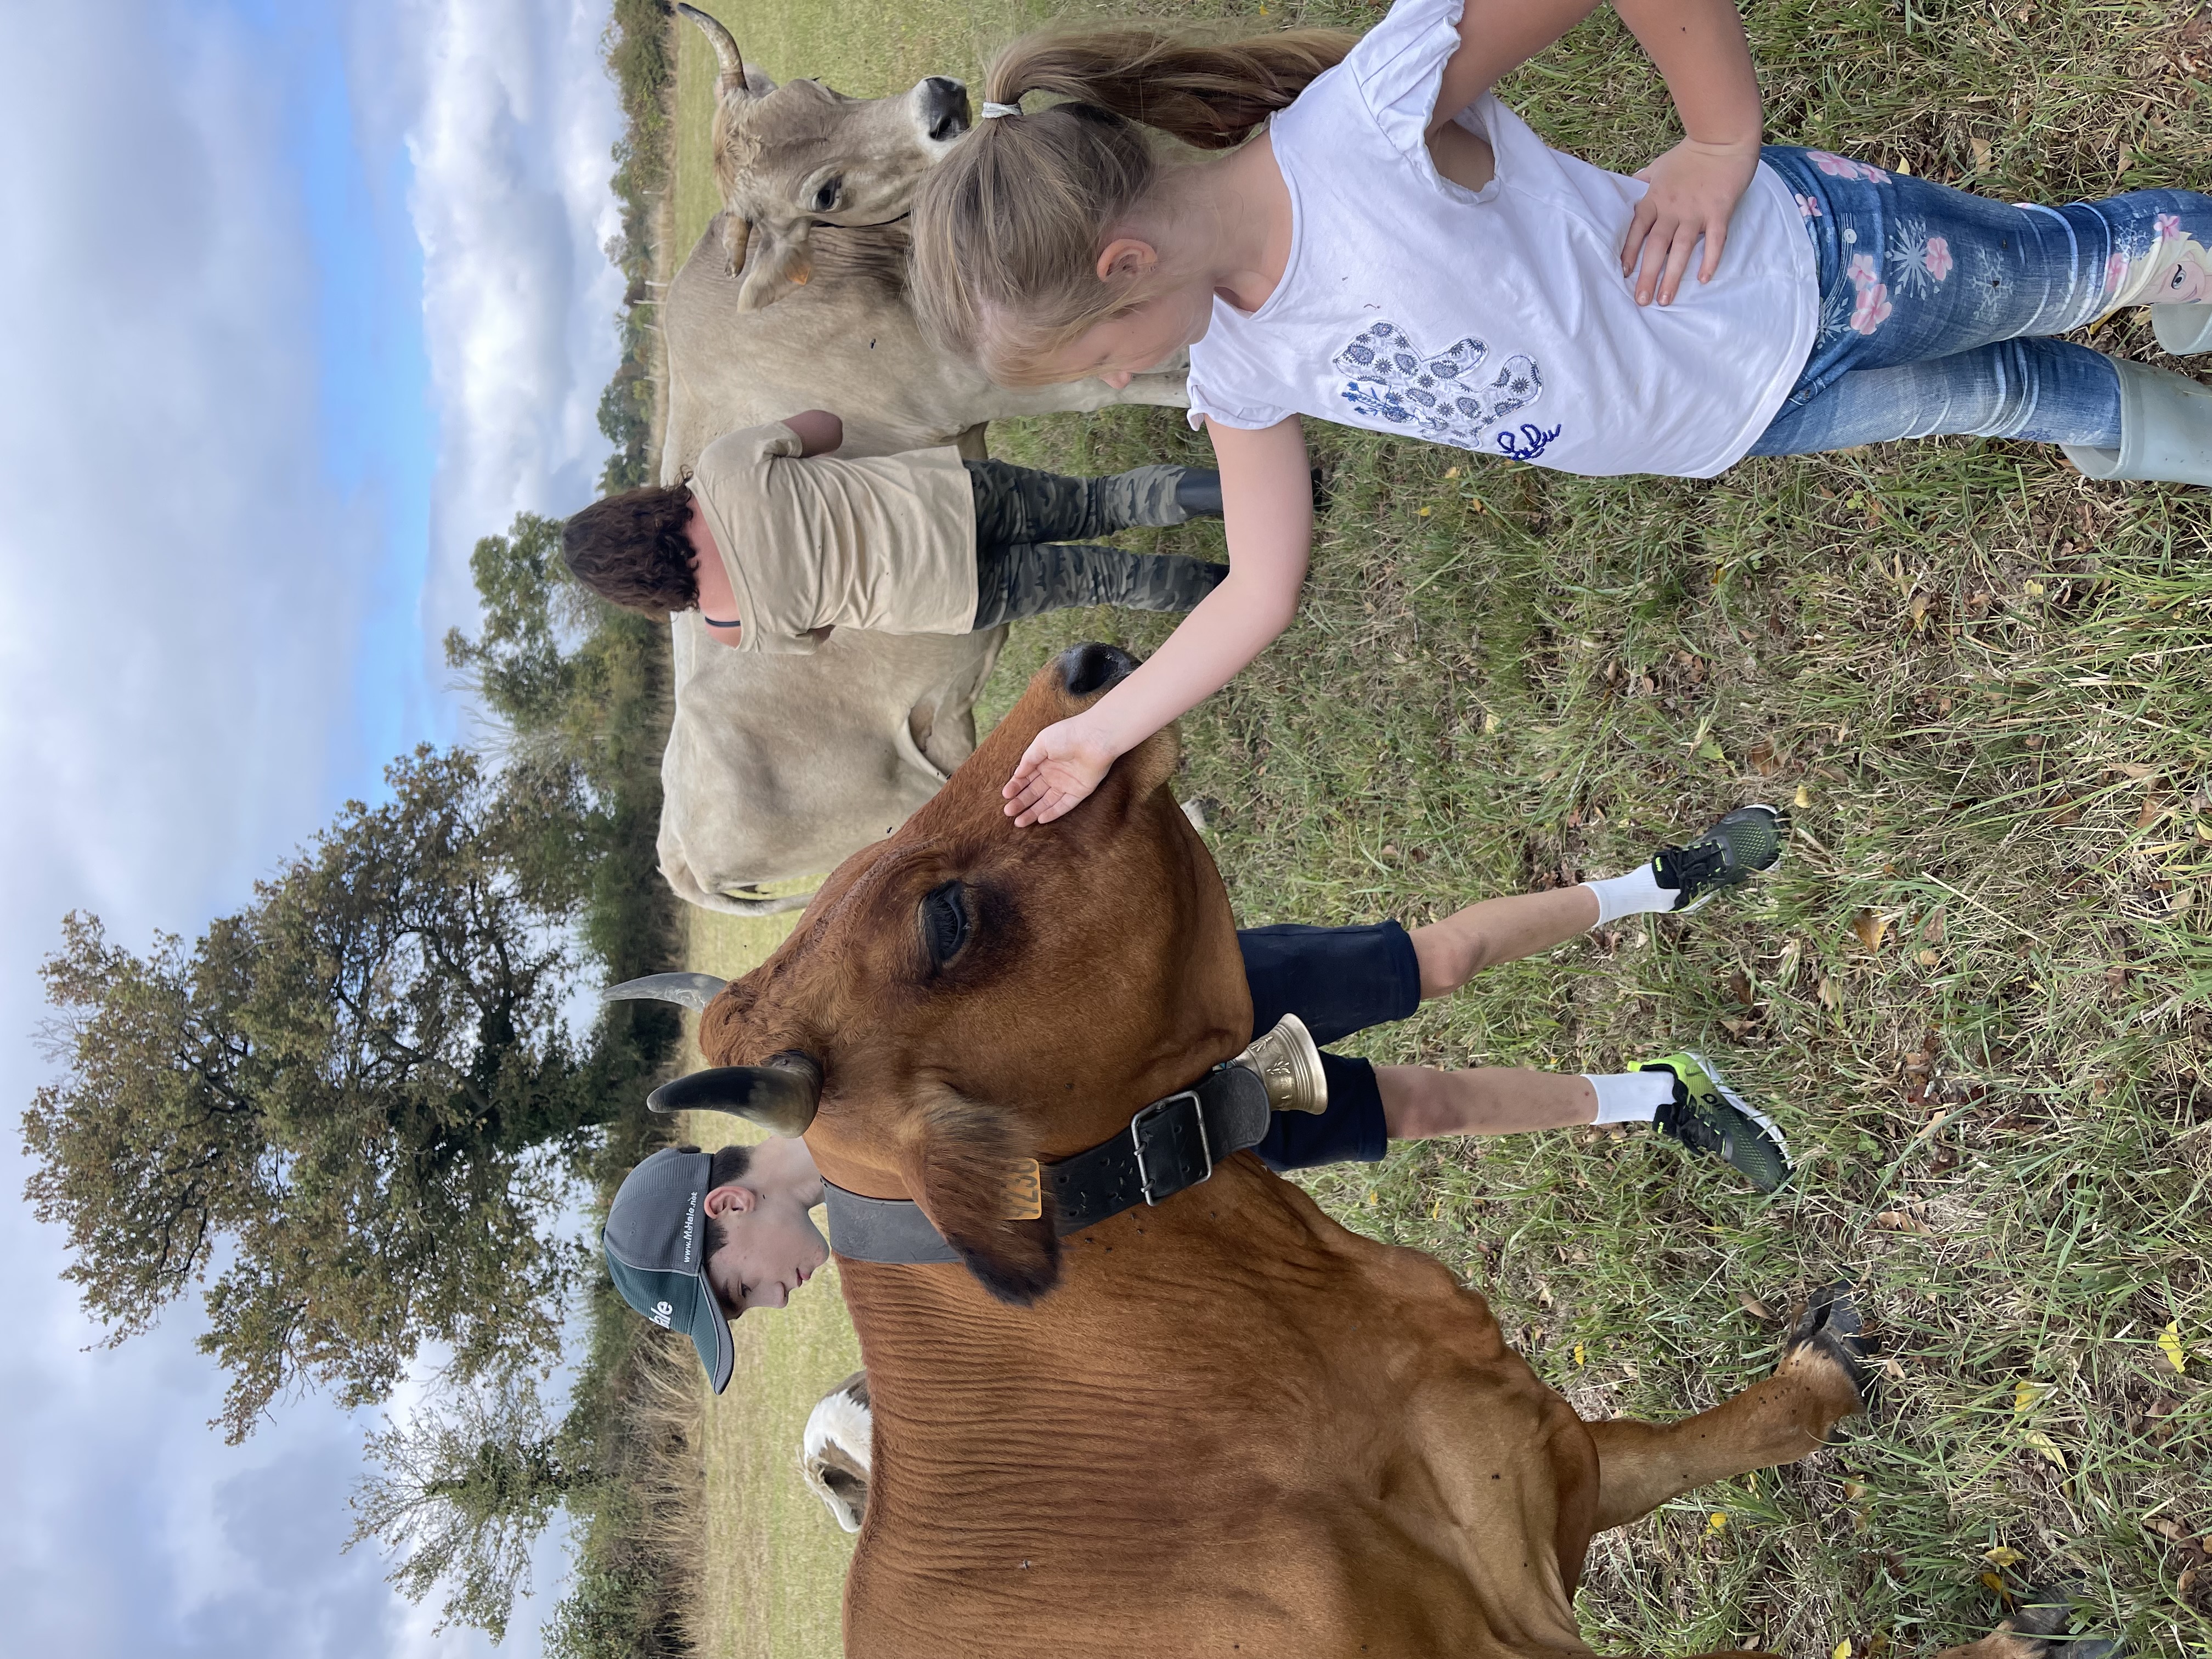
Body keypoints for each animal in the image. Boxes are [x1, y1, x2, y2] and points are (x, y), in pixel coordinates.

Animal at [657, 7, 1190, 916]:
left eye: (820, 90)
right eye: (823, 193)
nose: (939, 104)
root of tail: (679, 853)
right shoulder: (1007, 376)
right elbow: (1164, 362)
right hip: (908, 796)